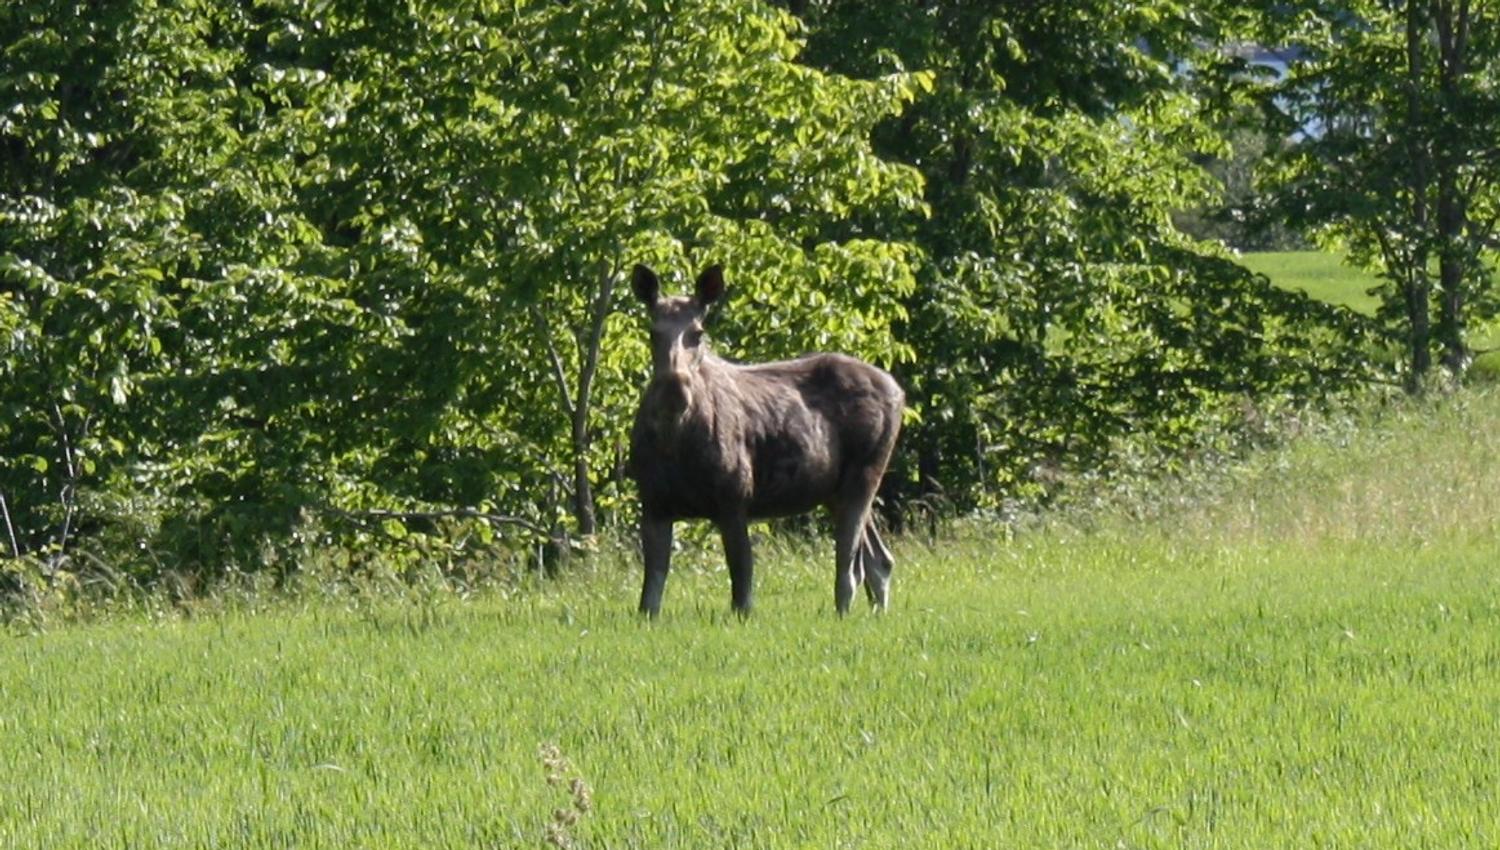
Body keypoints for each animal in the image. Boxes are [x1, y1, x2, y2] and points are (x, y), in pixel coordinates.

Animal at [628, 263, 904, 617]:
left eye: (698, 332)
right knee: (879, 559)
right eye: (653, 331)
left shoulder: (734, 498)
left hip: (864, 475)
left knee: (849, 568)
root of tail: (899, 391)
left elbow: (742, 588)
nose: (674, 390)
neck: (673, 440)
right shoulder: (654, 504)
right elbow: (649, 598)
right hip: (834, 490)